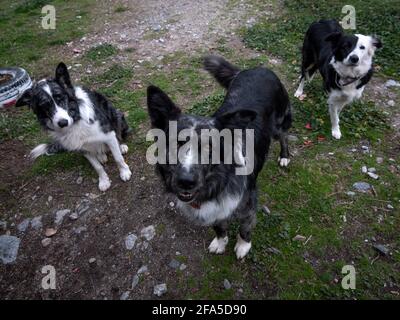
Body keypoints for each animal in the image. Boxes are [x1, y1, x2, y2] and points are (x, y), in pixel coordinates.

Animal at [16, 63, 131, 191]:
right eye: (45, 105)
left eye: (61, 98)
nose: (63, 122)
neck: (75, 120)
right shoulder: (82, 147)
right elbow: (97, 167)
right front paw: (104, 181)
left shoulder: (108, 134)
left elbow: (118, 158)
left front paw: (124, 172)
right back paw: (101, 155)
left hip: (117, 115)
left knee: (118, 136)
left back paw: (121, 147)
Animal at [147, 55, 290, 260]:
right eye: (177, 143)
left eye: (209, 147)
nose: (185, 182)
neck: (217, 184)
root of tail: (259, 68)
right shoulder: (214, 211)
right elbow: (219, 227)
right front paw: (221, 242)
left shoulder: (248, 204)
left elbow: (245, 228)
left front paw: (243, 246)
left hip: (278, 126)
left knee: (284, 136)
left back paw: (285, 156)